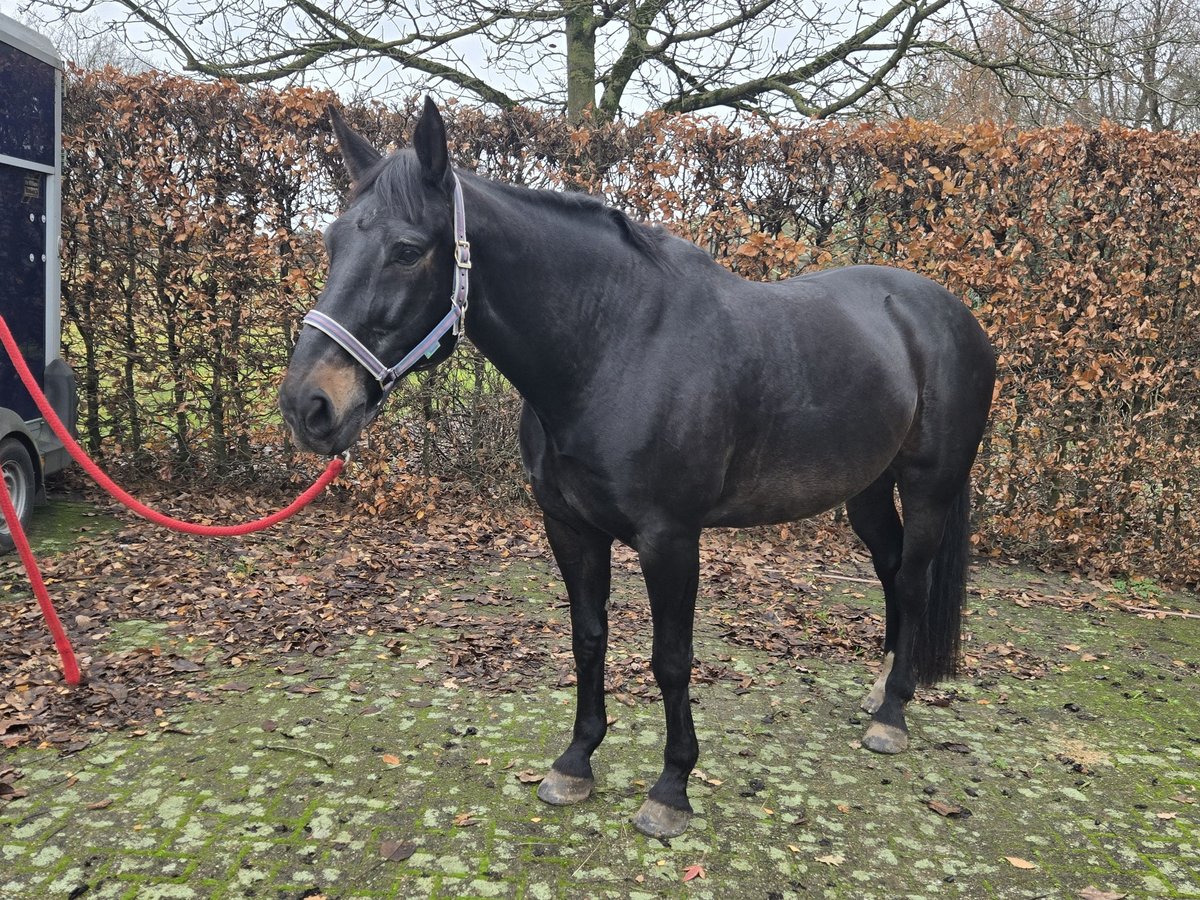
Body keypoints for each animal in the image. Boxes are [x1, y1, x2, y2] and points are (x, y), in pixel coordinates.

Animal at [279, 98, 996, 840]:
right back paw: (879, 689)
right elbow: (588, 639)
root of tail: (952, 313)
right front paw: (575, 761)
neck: (614, 345)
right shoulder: (570, 528)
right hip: (867, 490)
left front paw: (671, 788)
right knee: (889, 569)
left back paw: (893, 714)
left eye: (406, 250)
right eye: (332, 243)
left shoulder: (670, 540)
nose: (309, 405)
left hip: (930, 484)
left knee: (912, 578)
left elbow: (671, 660)